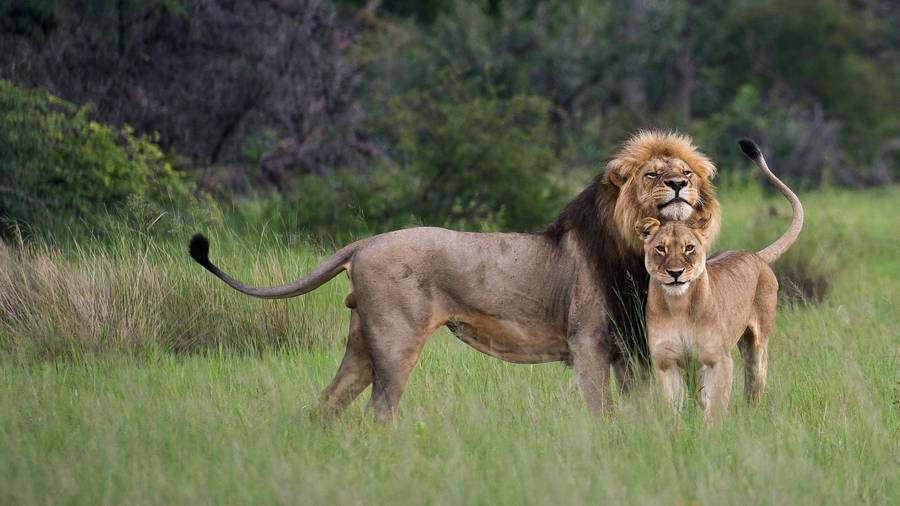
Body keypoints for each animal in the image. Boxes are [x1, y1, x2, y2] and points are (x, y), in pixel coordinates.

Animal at [189, 130, 721, 421]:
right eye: (652, 175)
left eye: (686, 172)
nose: (679, 183)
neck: (637, 250)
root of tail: (364, 243)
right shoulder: (587, 345)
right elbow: (604, 414)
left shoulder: (630, 348)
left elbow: (642, 410)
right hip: (396, 340)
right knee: (379, 410)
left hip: (362, 341)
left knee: (330, 400)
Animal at [634, 139, 803, 423]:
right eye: (660, 248)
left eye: (689, 248)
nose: (676, 273)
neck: (678, 306)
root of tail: (754, 254)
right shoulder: (666, 363)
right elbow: (673, 409)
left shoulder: (720, 360)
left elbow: (715, 407)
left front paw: (712, 432)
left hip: (756, 349)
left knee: (754, 386)